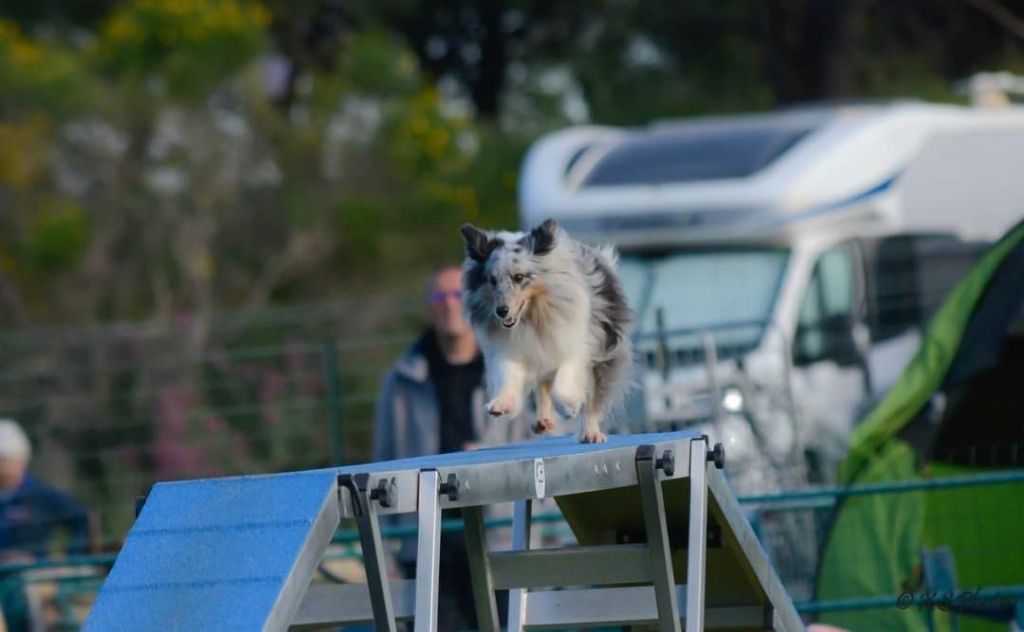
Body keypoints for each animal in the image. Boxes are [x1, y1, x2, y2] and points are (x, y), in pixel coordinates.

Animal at [458, 219, 630, 440]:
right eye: (492, 280)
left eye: (519, 277)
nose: (501, 311)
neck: (533, 316)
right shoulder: (510, 349)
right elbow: (508, 376)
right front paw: (501, 405)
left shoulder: (576, 346)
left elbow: (565, 385)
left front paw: (569, 407)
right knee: (543, 386)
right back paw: (544, 421)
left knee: (591, 397)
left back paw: (590, 433)